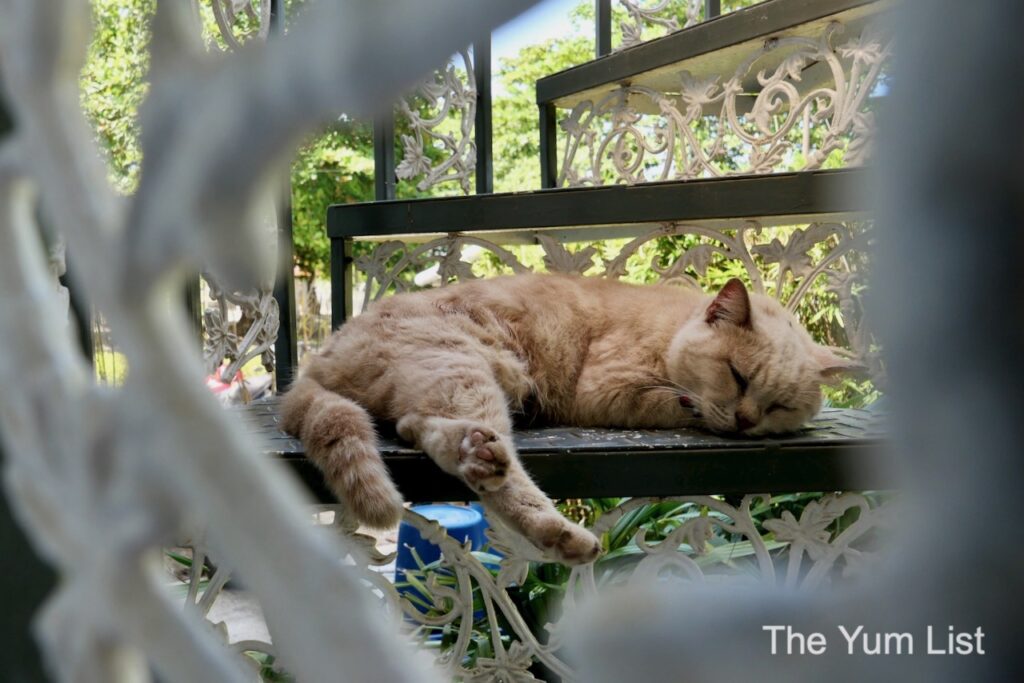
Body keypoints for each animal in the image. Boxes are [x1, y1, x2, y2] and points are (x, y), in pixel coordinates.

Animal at [278, 274, 856, 565]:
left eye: (780, 405)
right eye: (737, 376)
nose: (745, 420)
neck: (672, 326)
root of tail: (318, 360)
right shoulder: (609, 389)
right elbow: (682, 403)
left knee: (423, 430)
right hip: (465, 368)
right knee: (497, 472)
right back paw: (560, 533)